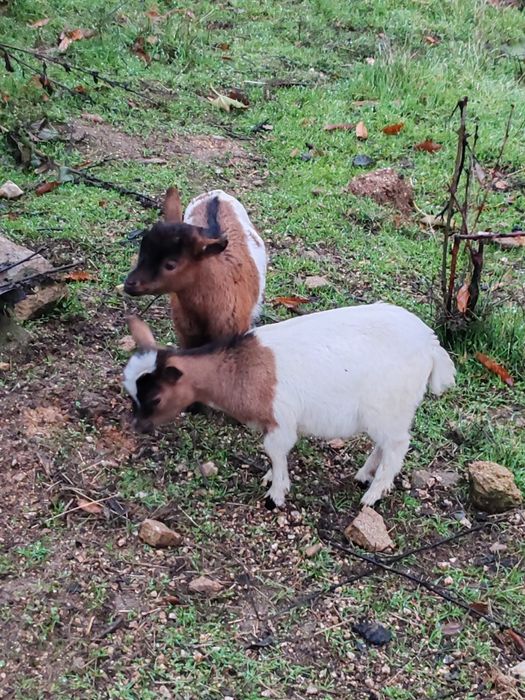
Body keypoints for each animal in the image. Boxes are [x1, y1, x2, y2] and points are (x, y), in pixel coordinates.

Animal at [123, 303, 456, 507]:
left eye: (155, 398)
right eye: (130, 391)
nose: (137, 426)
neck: (241, 368)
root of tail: (431, 345)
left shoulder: (280, 420)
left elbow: (275, 451)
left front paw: (276, 494)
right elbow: (273, 455)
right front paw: (271, 478)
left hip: (389, 406)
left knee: (397, 445)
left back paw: (373, 494)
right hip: (389, 412)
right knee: (385, 444)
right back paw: (364, 476)